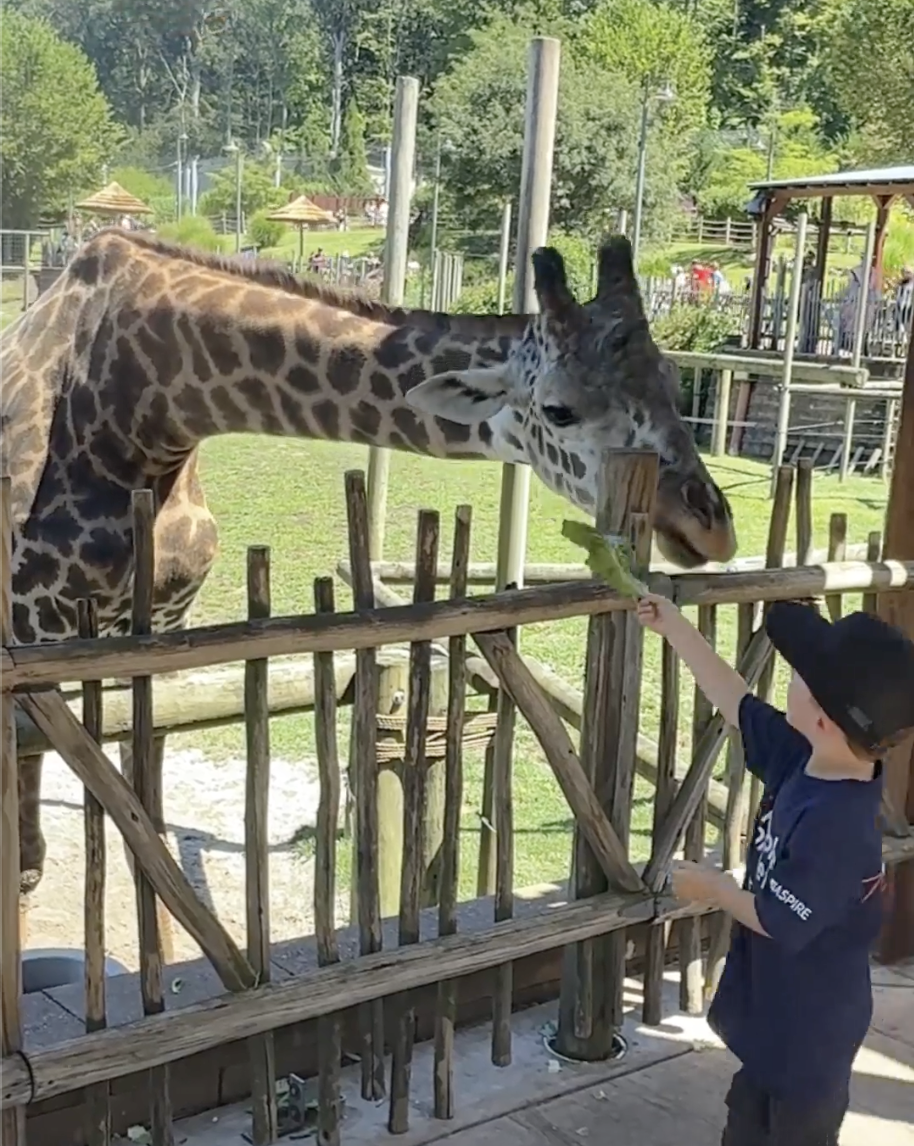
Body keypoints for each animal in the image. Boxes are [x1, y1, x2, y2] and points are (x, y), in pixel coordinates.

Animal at [1, 227, 736, 904]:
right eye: (558, 409)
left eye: (672, 381)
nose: (712, 524)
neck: (146, 411)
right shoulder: (35, 621)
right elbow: (39, 764)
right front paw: (30, 869)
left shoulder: (160, 623)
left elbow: (137, 765)